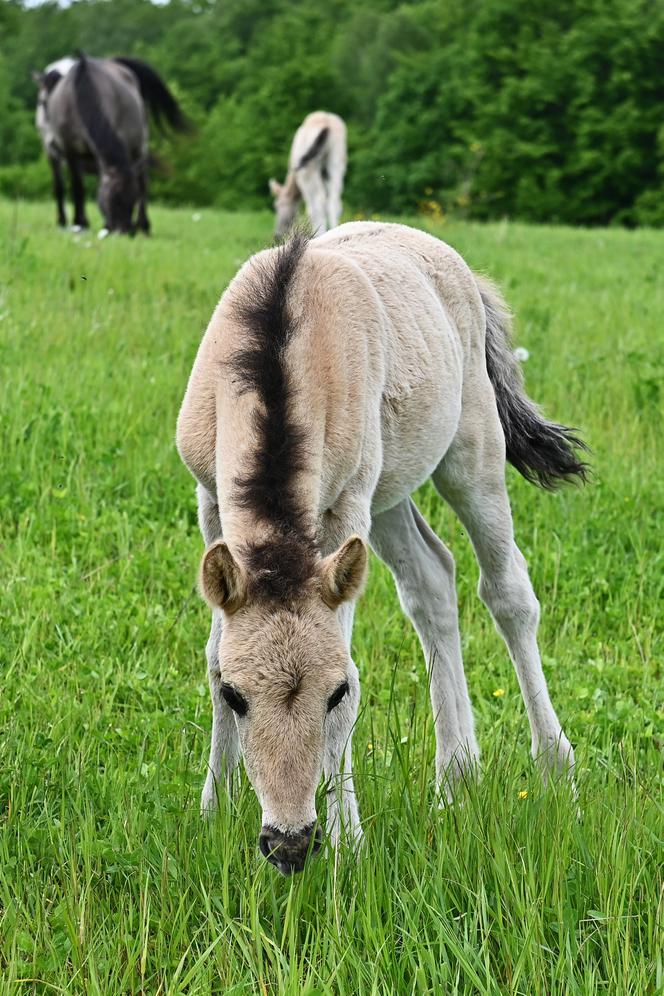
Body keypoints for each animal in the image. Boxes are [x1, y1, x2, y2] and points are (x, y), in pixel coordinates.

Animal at [34, 55, 187, 233]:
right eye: (113, 197)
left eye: (132, 198)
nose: (124, 230)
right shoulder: (68, 151)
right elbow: (75, 187)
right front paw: (79, 222)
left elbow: (139, 184)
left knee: (142, 180)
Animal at [176, 224, 588, 872]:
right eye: (237, 697)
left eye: (334, 693)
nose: (290, 844)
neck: (276, 348)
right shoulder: (211, 498)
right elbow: (216, 653)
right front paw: (213, 811)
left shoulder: (346, 506)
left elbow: (348, 662)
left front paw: (348, 841)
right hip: (389, 494)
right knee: (432, 580)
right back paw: (455, 778)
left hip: (468, 451)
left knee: (508, 593)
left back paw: (553, 769)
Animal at [268, 110, 348, 239]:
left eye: (276, 206)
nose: (277, 235)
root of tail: (326, 122)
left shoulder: (302, 179)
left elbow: (310, 209)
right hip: (336, 161)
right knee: (334, 201)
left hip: (310, 169)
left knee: (319, 202)